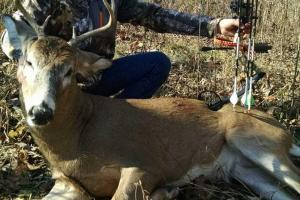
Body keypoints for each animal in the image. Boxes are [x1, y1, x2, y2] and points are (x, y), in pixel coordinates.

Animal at [2, 0, 300, 200]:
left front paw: (165, 191)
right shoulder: (63, 180)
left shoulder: (144, 164)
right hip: (246, 170)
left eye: (69, 71)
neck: (77, 138)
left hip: (254, 138)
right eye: (28, 61)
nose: (41, 112)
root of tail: (286, 132)